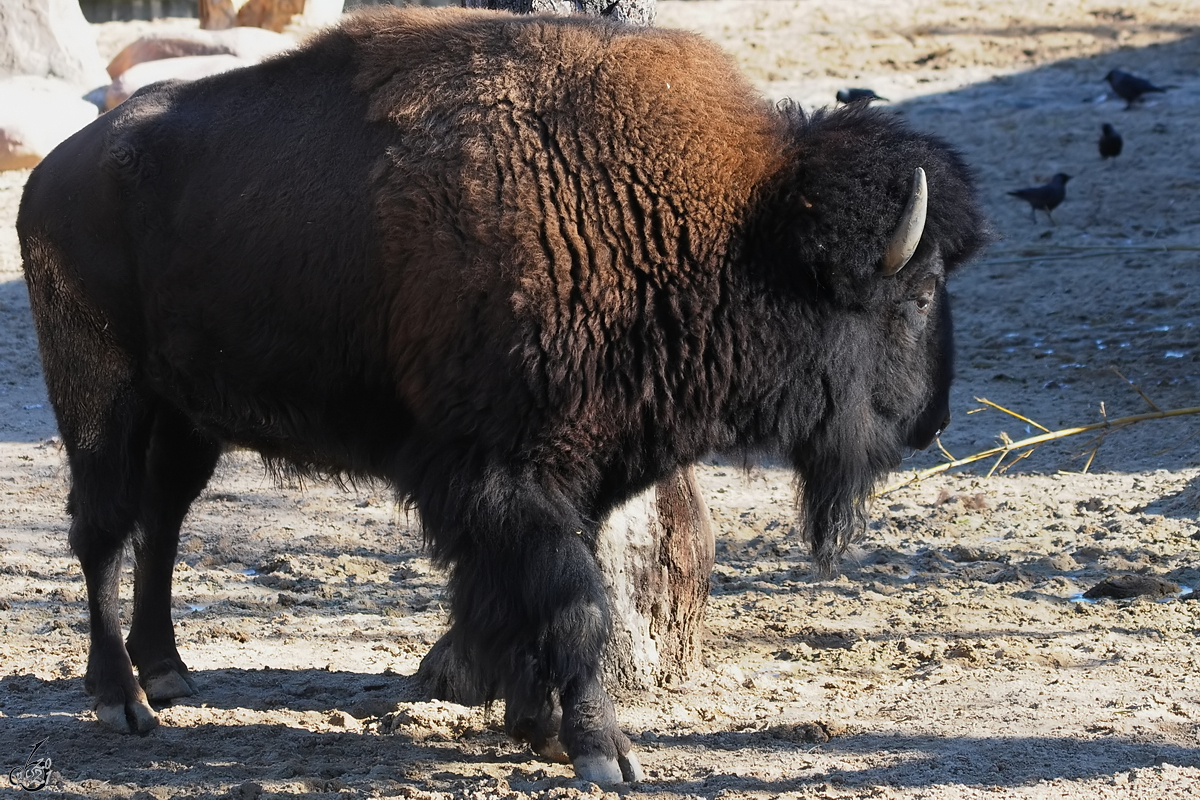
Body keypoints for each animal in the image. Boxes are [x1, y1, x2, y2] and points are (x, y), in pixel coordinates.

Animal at [16, 4, 984, 782]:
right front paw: (600, 751)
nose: (932, 422)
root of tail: (51, 176)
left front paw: (535, 727)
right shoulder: (503, 474)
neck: (729, 230)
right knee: (102, 530)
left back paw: (168, 671)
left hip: (186, 416)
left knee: (163, 520)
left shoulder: (575, 474)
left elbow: (526, 599)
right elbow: (573, 603)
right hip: (100, 396)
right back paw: (122, 700)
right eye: (920, 293)